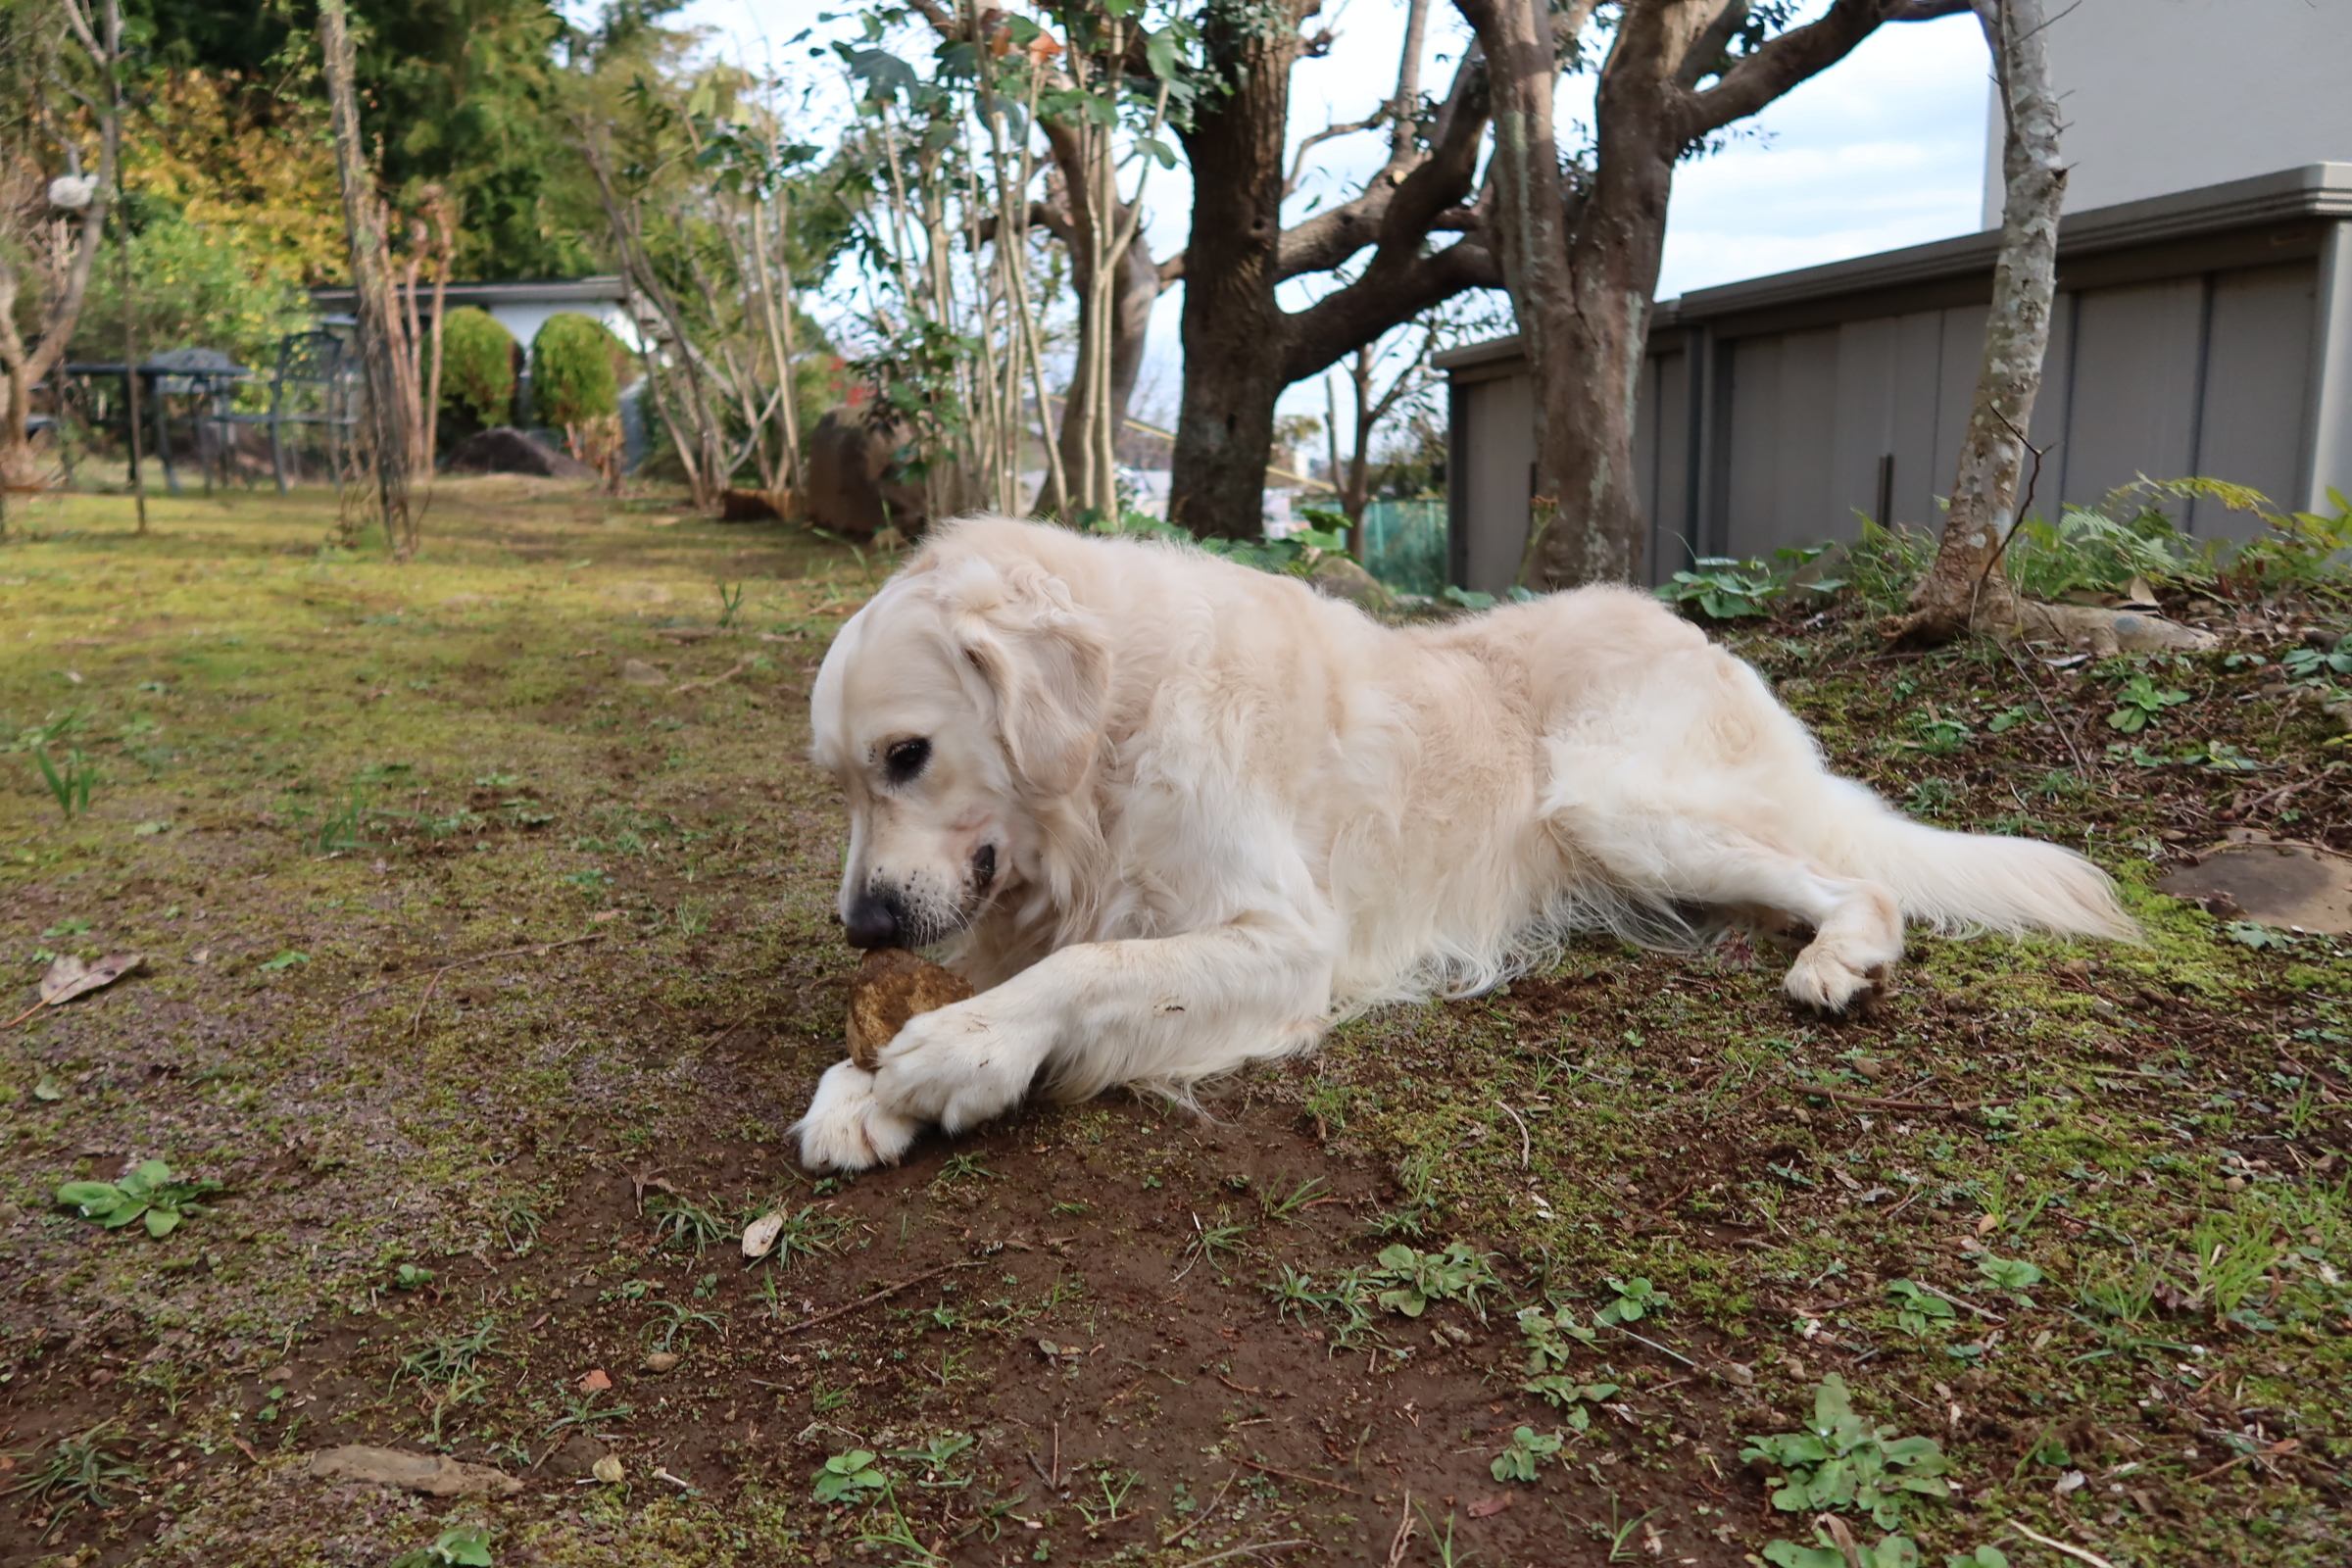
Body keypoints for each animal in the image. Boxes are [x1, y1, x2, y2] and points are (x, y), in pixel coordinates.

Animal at [790, 521, 2135, 1170]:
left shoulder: (1289, 943)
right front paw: (859, 1087)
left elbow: (1088, 968)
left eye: (907, 755)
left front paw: (962, 1051)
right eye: (840, 781)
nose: (860, 926)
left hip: (1608, 802)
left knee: (1857, 878)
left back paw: (1840, 956)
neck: (1112, 743)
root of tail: (1700, 634)